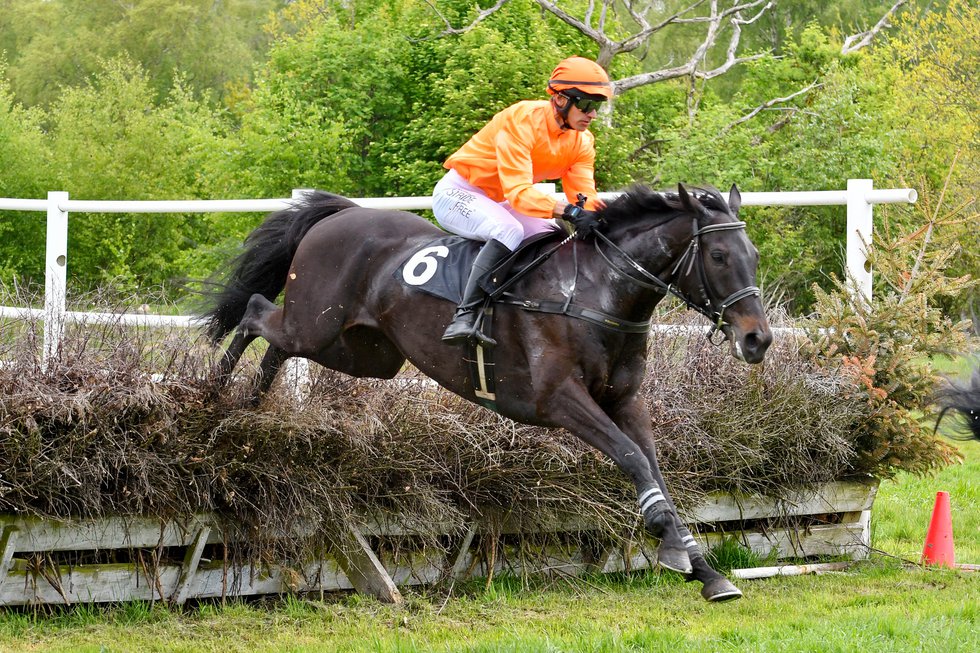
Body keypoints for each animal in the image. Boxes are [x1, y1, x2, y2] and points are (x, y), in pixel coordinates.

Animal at [201, 181, 772, 600]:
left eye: (753, 254)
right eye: (719, 256)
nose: (758, 339)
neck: (597, 293)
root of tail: (343, 214)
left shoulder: (625, 400)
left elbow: (653, 468)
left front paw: (704, 570)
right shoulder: (557, 400)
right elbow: (632, 457)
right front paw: (677, 552)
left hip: (365, 354)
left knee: (276, 345)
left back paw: (249, 409)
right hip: (318, 324)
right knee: (254, 314)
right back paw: (211, 401)